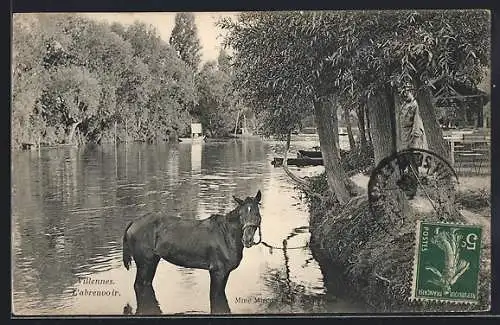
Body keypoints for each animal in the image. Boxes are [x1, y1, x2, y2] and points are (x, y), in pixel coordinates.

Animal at [122, 189, 262, 312]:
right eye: (241, 214)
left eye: (256, 213)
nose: (247, 239)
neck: (226, 234)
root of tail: (133, 222)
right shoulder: (217, 272)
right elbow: (216, 297)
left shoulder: (225, 273)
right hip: (144, 263)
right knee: (138, 285)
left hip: (152, 263)